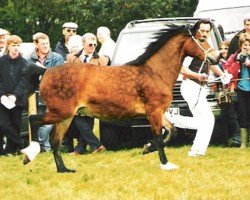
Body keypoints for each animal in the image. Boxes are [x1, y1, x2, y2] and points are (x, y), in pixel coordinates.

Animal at [22, 24, 220, 172]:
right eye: (202, 38)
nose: (217, 57)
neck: (155, 72)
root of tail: (46, 71)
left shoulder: (159, 112)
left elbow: (172, 131)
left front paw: (146, 148)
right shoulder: (153, 112)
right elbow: (158, 137)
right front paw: (165, 164)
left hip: (66, 116)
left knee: (55, 140)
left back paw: (64, 169)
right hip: (60, 112)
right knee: (34, 120)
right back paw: (28, 155)